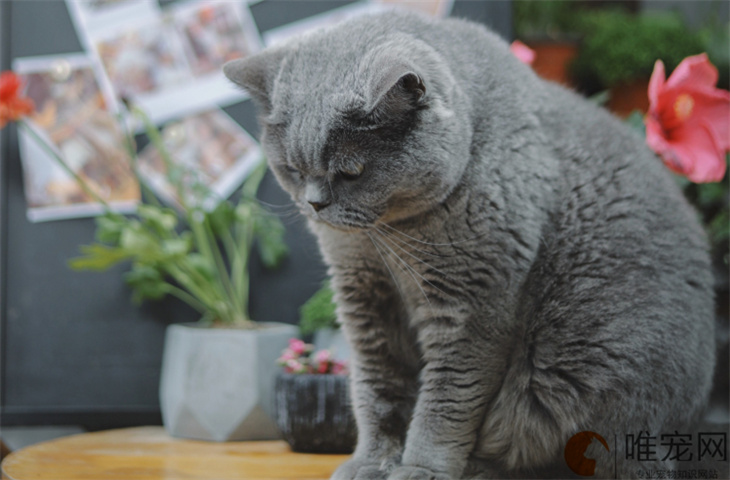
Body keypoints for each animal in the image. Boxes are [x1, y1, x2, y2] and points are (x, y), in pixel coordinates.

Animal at [225, 11, 712, 480]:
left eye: (351, 172)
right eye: (292, 169)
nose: (314, 203)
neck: (386, 242)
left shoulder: (471, 308)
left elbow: (445, 403)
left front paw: (420, 469)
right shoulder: (364, 299)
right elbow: (377, 389)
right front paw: (371, 463)